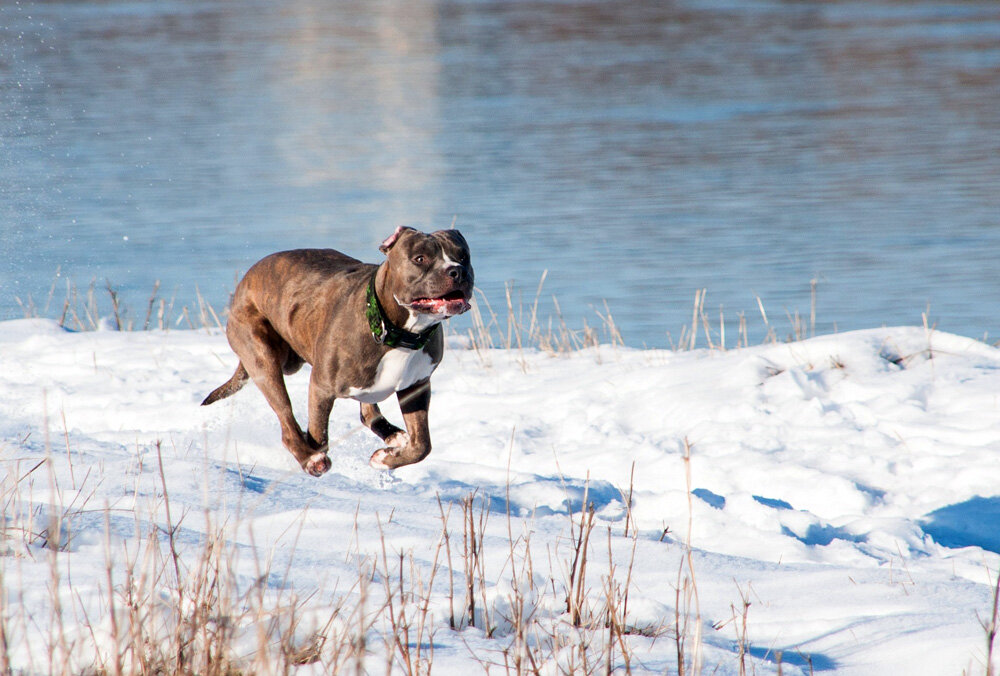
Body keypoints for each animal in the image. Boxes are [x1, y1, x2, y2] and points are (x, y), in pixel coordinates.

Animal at [201, 227, 474, 476]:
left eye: (463, 256)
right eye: (420, 258)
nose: (457, 270)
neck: (398, 332)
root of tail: (246, 280)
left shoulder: (417, 386)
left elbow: (422, 445)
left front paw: (385, 459)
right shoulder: (321, 387)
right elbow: (318, 433)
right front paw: (316, 453)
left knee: (368, 412)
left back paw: (393, 437)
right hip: (262, 357)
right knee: (286, 419)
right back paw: (310, 459)